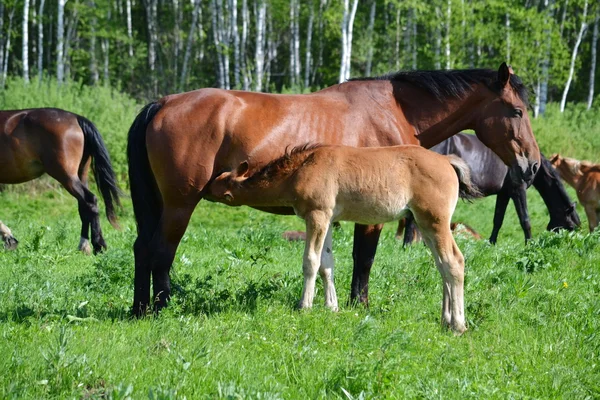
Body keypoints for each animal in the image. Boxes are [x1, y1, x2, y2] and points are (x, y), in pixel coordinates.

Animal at [0, 108, 122, 253]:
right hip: (81, 174)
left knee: (89, 200)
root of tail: (76, 118)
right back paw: (84, 245)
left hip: (66, 176)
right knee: (83, 206)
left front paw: (8, 236)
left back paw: (98, 245)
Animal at [209, 145, 480, 332]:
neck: (302, 167)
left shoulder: (317, 215)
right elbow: (326, 263)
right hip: (425, 225)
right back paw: (445, 319)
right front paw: (332, 307)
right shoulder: (328, 219)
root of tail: (446, 161)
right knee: (441, 266)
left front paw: (304, 306)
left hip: (435, 222)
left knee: (454, 262)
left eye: (221, 184)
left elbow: (311, 261)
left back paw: (458, 324)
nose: (205, 190)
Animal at [396, 133, 580, 244]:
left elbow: (498, 220)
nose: (567, 244)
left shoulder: (504, 194)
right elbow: (525, 220)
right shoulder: (518, 191)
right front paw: (529, 243)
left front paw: (491, 243)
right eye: (571, 227)